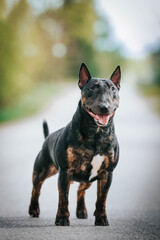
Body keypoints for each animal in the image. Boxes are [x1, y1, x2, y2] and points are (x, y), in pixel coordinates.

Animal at [29, 62, 121, 226]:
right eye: (92, 88)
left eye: (112, 89)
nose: (104, 107)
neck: (96, 133)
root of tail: (48, 137)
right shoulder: (65, 172)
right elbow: (63, 198)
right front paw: (62, 219)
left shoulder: (106, 173)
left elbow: (101, 199)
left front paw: (101, 218)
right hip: (42, 170)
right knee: (36, 189)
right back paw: (33, 209)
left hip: (88, 177)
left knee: (80, 189)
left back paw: (81, 211)